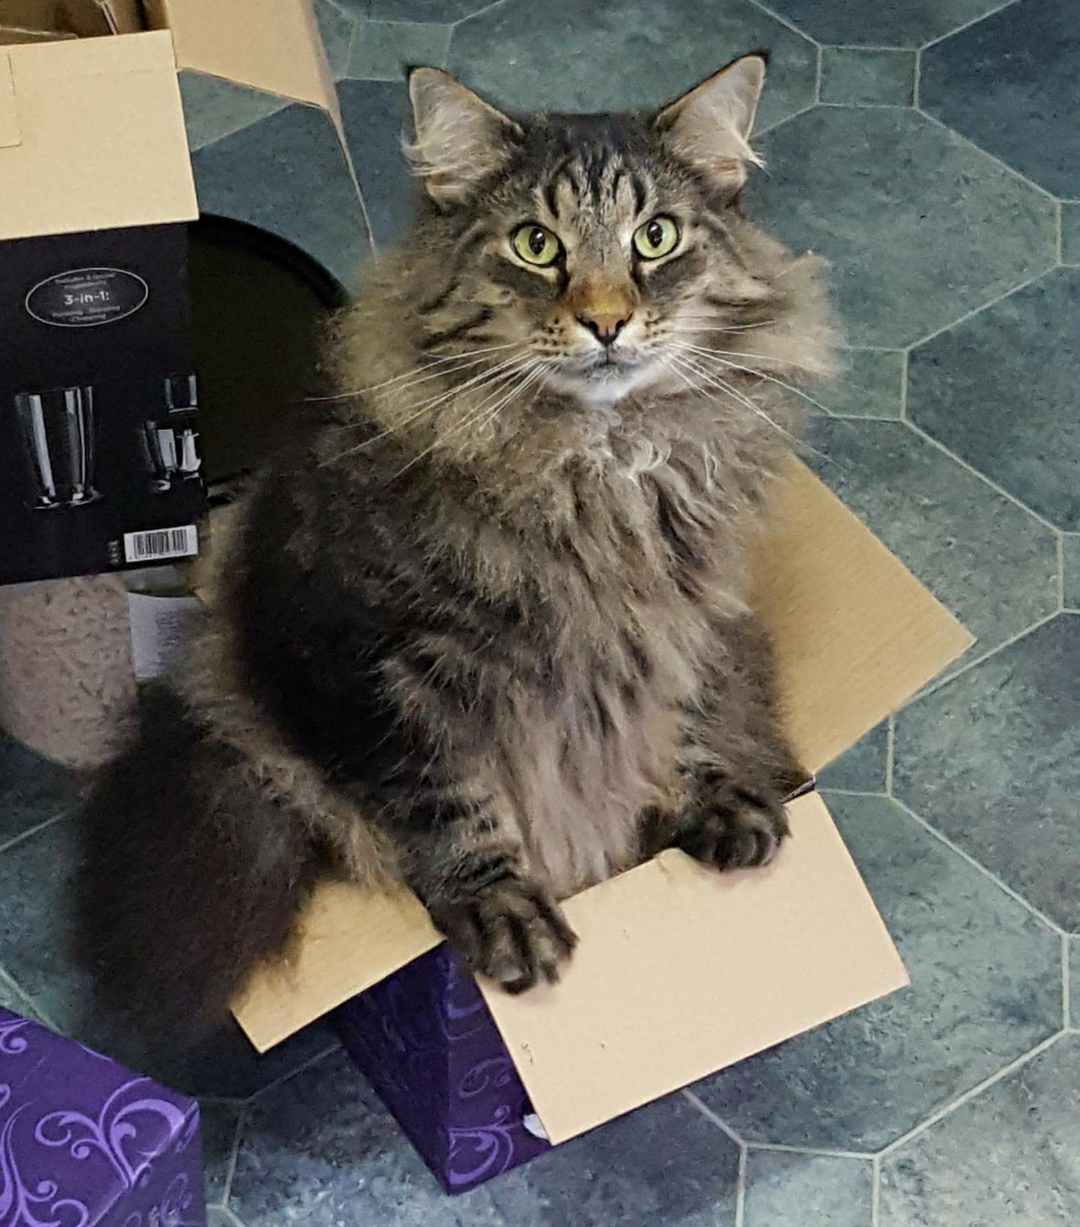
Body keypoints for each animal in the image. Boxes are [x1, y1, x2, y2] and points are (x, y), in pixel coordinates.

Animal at [80, 55, 834, 1035]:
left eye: (657, 237)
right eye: (537, 245)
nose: (606, 321)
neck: (593, 464)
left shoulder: (693, 616)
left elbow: (691, 713)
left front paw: (722, 801)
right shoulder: (372, 662)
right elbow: (448, 801)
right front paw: (505, 911)